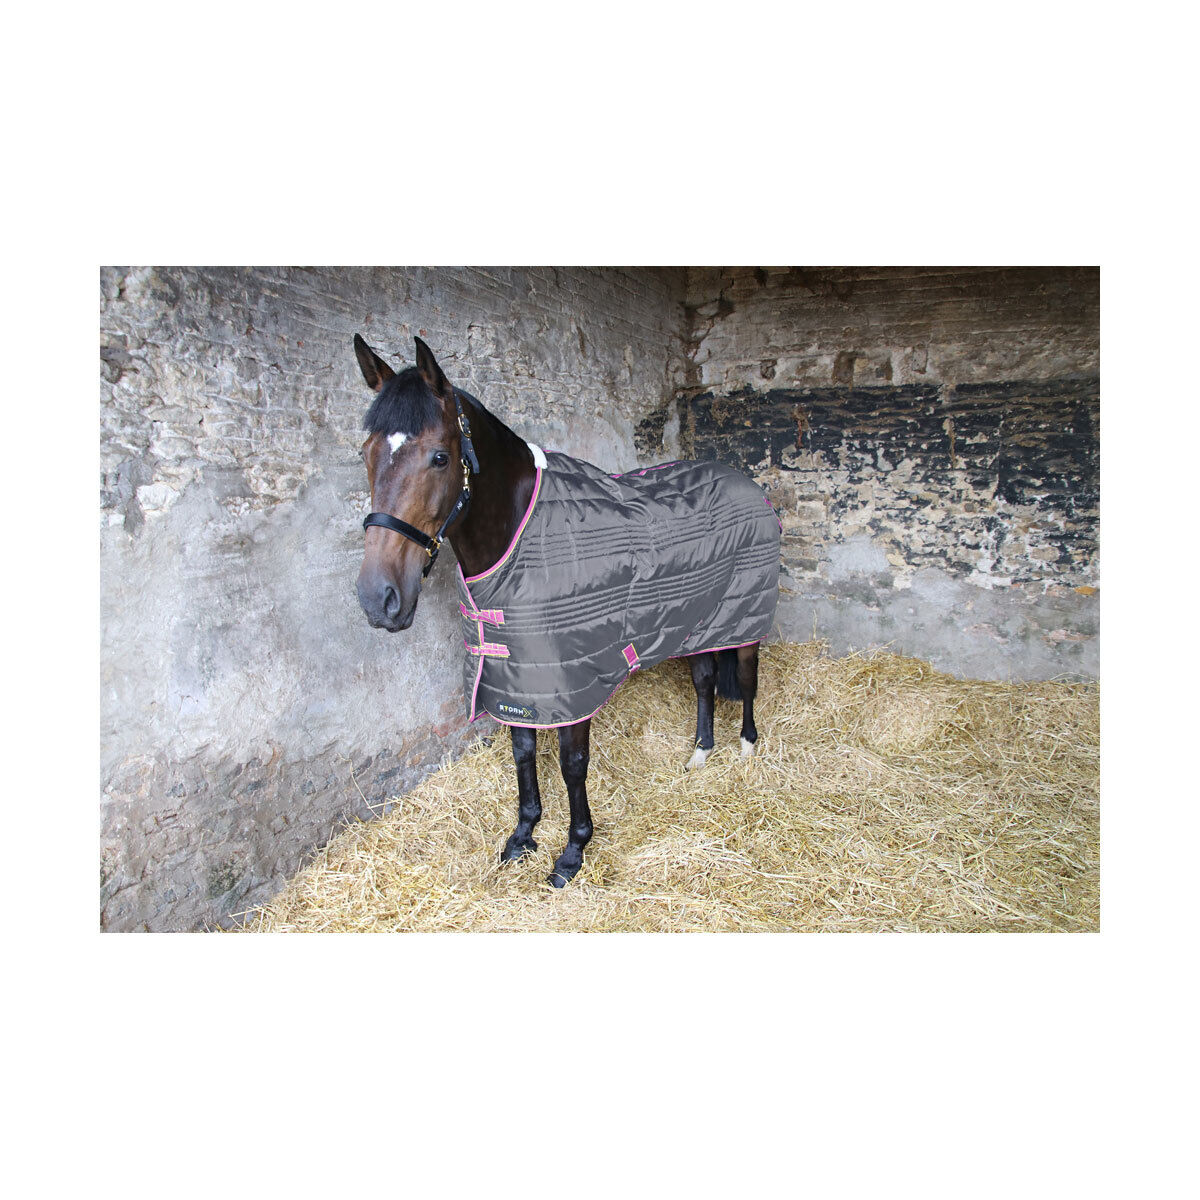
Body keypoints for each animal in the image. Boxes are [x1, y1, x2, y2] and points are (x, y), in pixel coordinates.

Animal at [354, 334, 780, 887]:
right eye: (365, 453)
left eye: (440, 457)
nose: (377, 598)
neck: (519, 534)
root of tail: (748, 485)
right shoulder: (518, 680)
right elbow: (524, 755)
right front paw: (522, 835)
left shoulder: (574, 685)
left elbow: (572, 764)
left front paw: (573, 852)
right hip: (696, 623)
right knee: (705, 680)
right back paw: (700, 753)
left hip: (744, 619)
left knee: (746, 679)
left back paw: (746, 748)